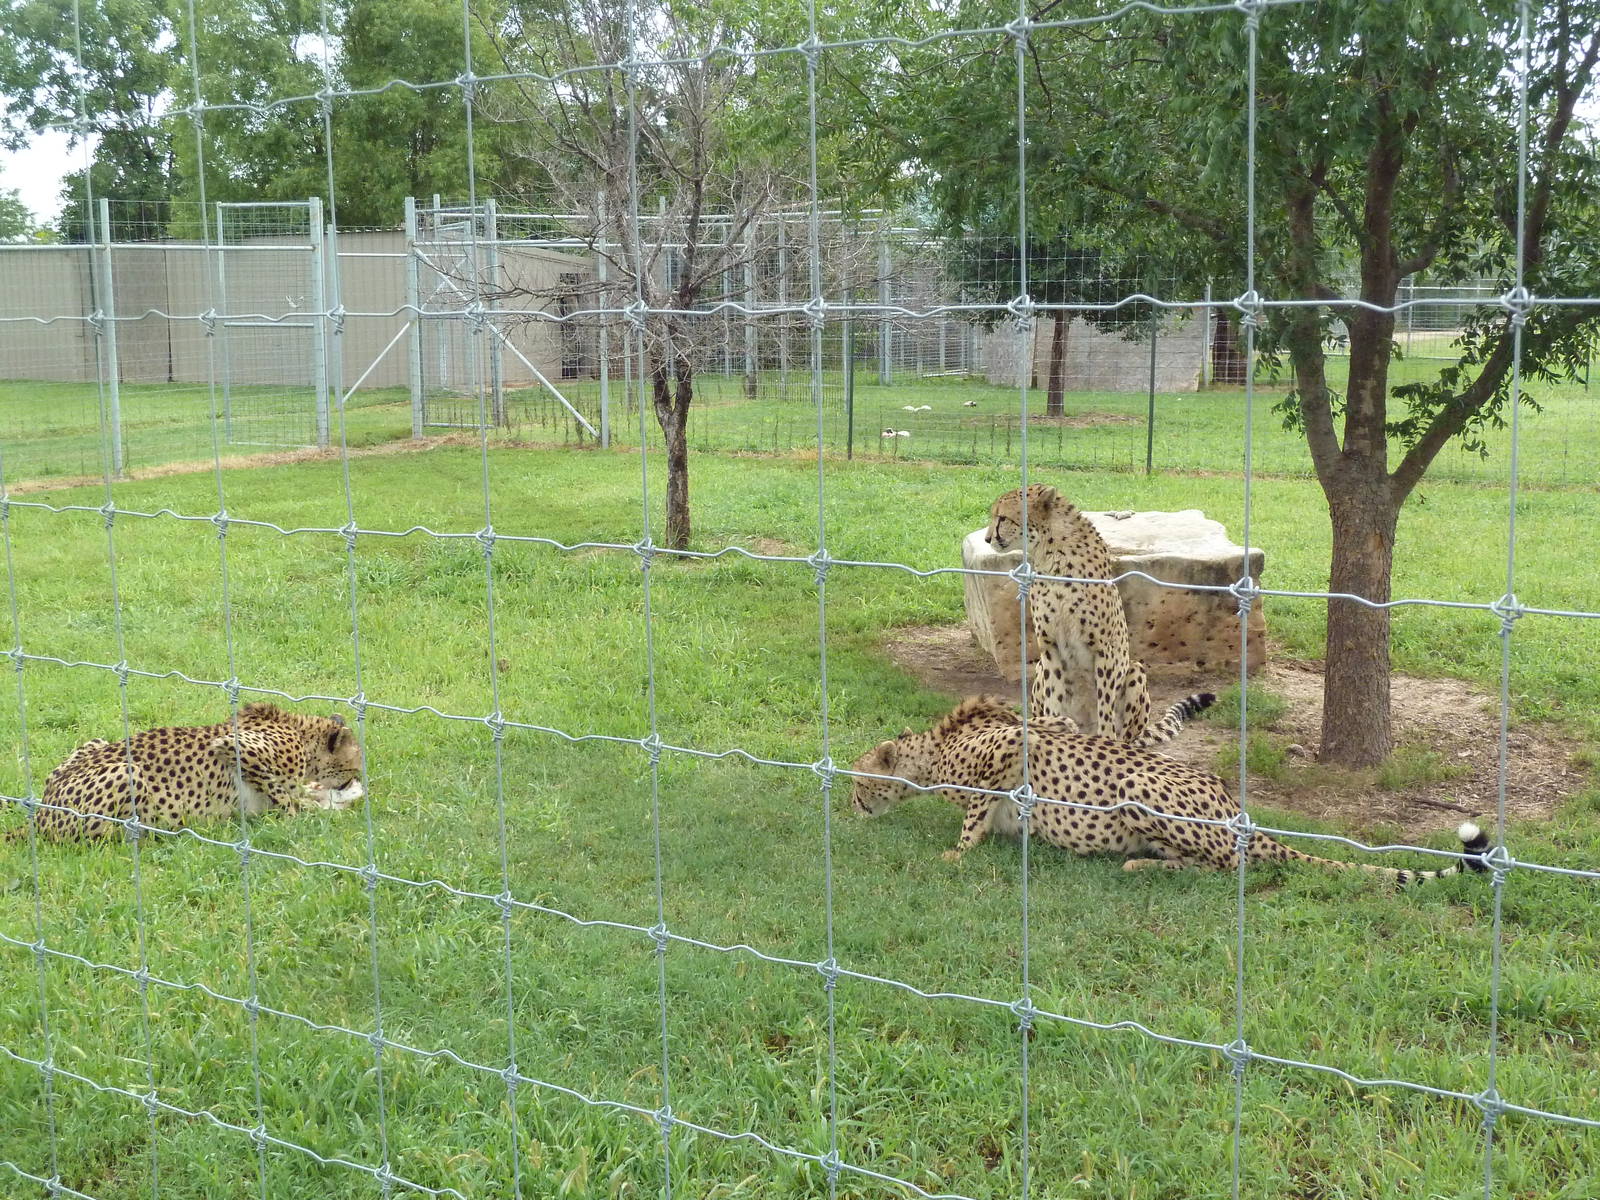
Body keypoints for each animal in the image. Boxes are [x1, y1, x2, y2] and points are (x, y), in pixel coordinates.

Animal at [19, 702, 364, 843]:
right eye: (354, 765)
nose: (355, 780)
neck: (300, 733)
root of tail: (40, 812)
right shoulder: (234, 746)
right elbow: (281, 791)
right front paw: (298, 812)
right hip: (128, 771)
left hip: (95, 743)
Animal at [850, 696, 1491, 886]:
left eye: (858, 782)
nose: (850, 805)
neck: (934, 750)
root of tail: (1238, 810)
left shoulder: (1012, 751)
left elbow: (976, 814)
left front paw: (954, 853)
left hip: (1141, 787)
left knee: (1228, 867)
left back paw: (1142, 866)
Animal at [987, 484, 1168, 744]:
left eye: (1002, 517)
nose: (987, 538)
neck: (1051, 554)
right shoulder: (1050, 646)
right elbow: (1054, 693)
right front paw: (1055, 728)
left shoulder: (1105, 648)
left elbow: (1105, 704)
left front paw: (1105, 740)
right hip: (1040, 668)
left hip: (1135, 670)